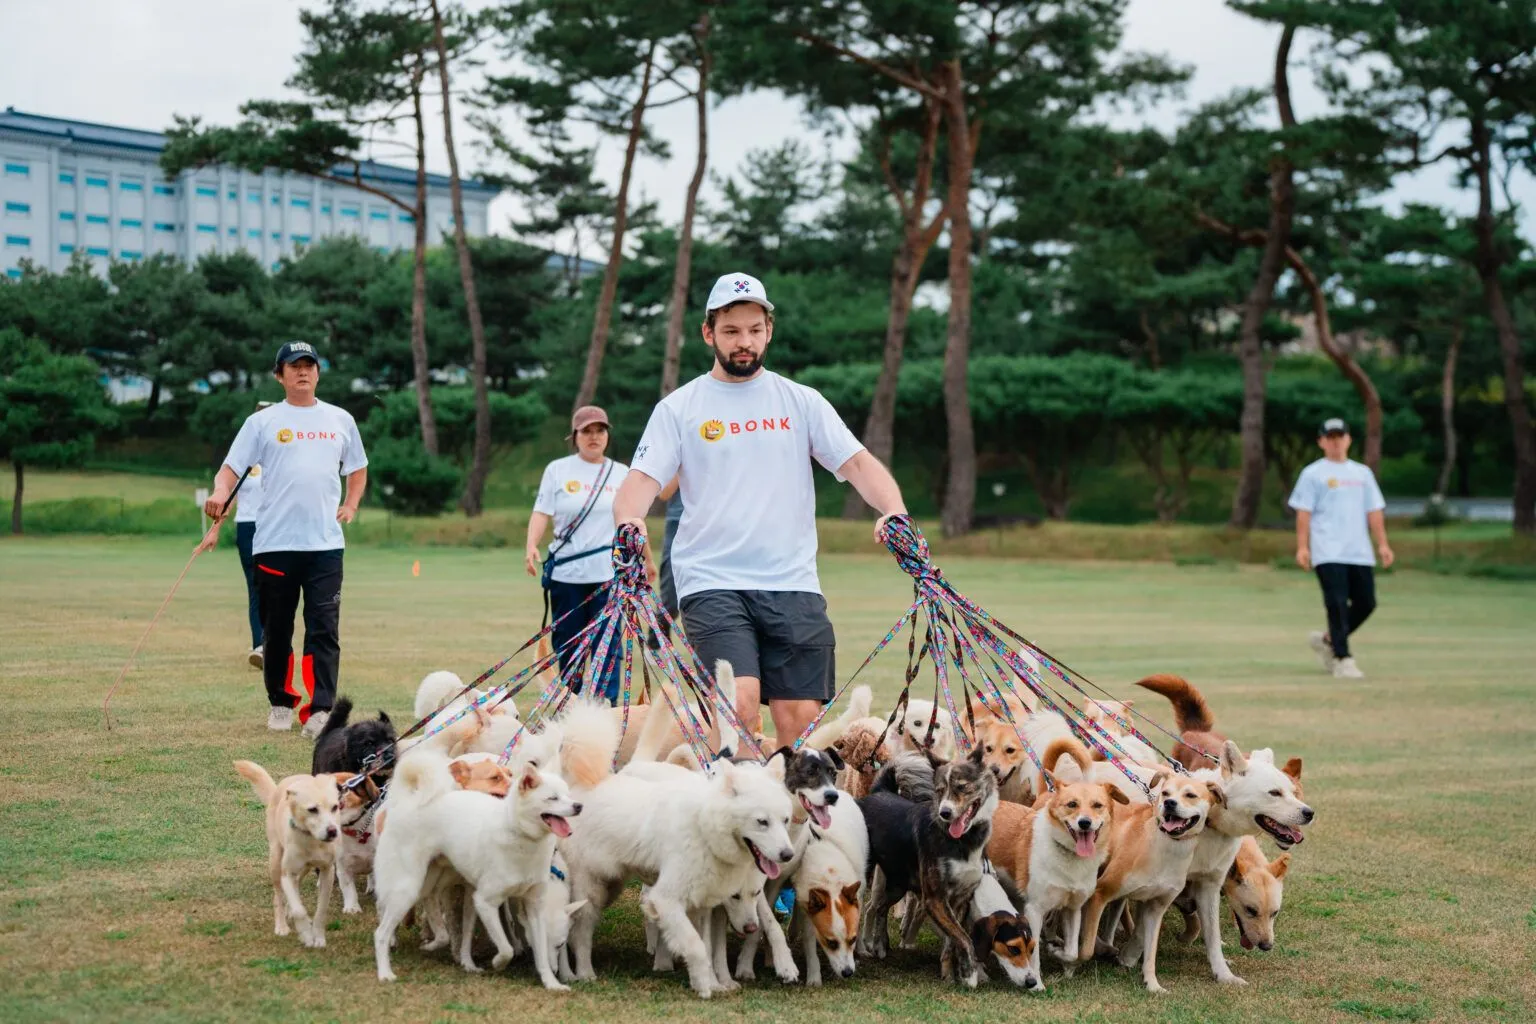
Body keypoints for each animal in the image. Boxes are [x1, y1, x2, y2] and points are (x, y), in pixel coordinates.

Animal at [860, 749, 1001, 988]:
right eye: (939, 790)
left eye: (962, 787)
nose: (945, 812)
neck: (962, 840)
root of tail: (880, 791)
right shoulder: (935, 899)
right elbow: (963, 938)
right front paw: (970, 973)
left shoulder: (960, 899)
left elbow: (953, 940)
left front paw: (949, 974)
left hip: (898, 884)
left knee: (880, 907)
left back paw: (881, 944)